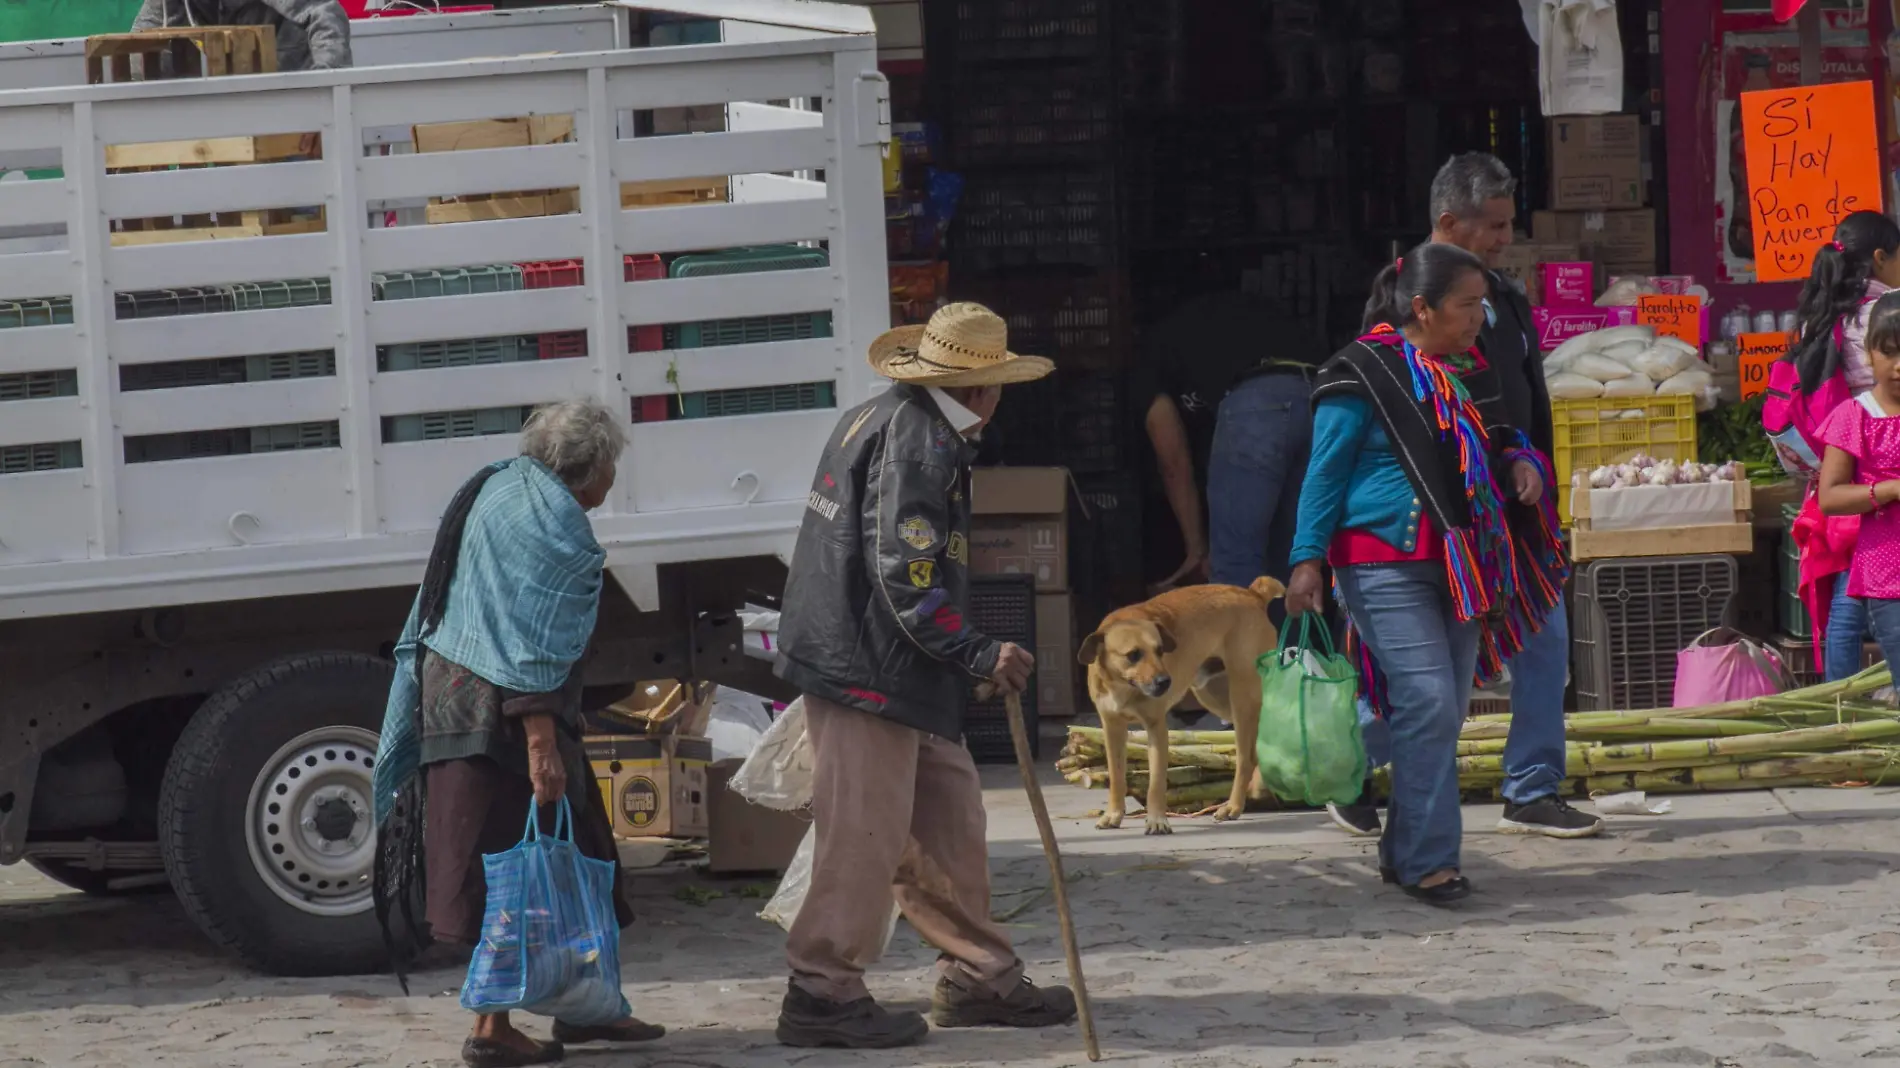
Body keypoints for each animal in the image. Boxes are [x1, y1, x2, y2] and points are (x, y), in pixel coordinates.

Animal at [1079, 573, 1284, 832]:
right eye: (1133, 654)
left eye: (1160, 650)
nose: (1165, 682)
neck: (1123, 686)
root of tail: (1253, 594)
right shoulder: (1112, 728)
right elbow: (1116, 777)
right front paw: (1113, 814)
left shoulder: (1156, 727)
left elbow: (1156, 782)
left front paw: (1157, 820)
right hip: (1216, 698)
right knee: (1256, 750)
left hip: (1242, 699)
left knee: (1245, 758)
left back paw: (1233, 807)